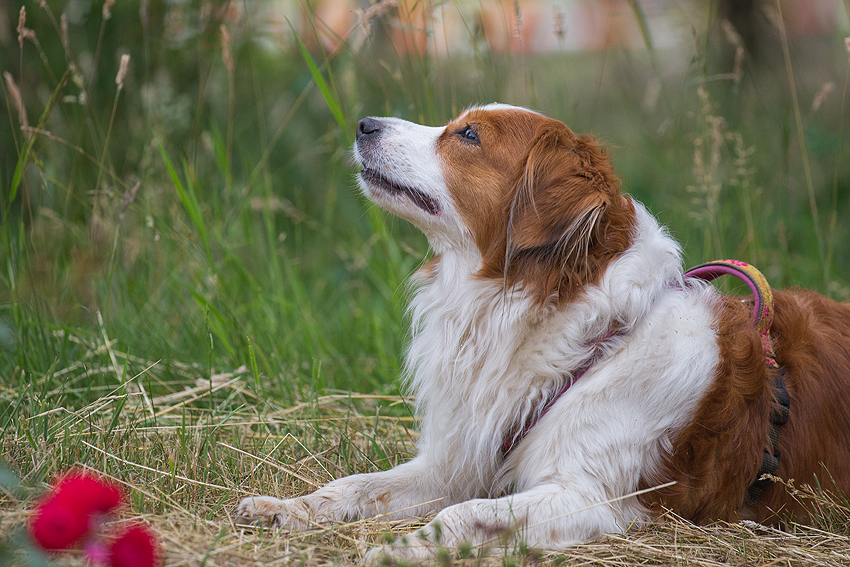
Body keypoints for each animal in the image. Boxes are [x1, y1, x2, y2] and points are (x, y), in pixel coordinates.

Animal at [235, 104, 848, 560]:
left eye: (469, 135)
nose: (364, 124)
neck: (587, 340)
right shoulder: (459, 463)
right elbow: (357, 484)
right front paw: (285, 509)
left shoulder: (587, 497)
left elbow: (461, 517)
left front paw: (398, 549)